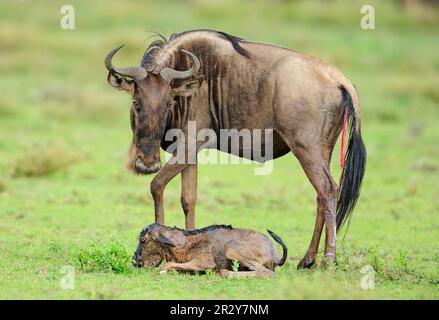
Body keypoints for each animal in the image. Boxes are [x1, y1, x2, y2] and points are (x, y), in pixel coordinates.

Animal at [132, 222, 288, 278]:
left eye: (143, 239)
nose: (134, 261)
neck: (184, 243)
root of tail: (274, 251)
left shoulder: (206, 262)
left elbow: (168, 265)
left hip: (232, 250)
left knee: (266, 272)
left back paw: (225, 273)